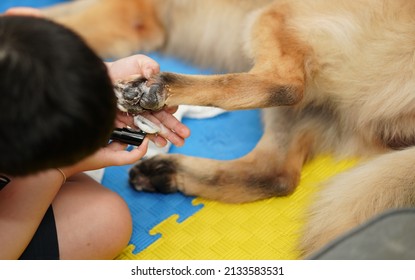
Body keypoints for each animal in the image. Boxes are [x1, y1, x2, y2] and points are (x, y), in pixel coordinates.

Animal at [41, 0, 415, 258]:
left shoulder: (126, 12)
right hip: (304, 107)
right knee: (275, 174)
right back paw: (166, 172)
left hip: (276, 17)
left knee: (285, 85)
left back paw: (159, 87)